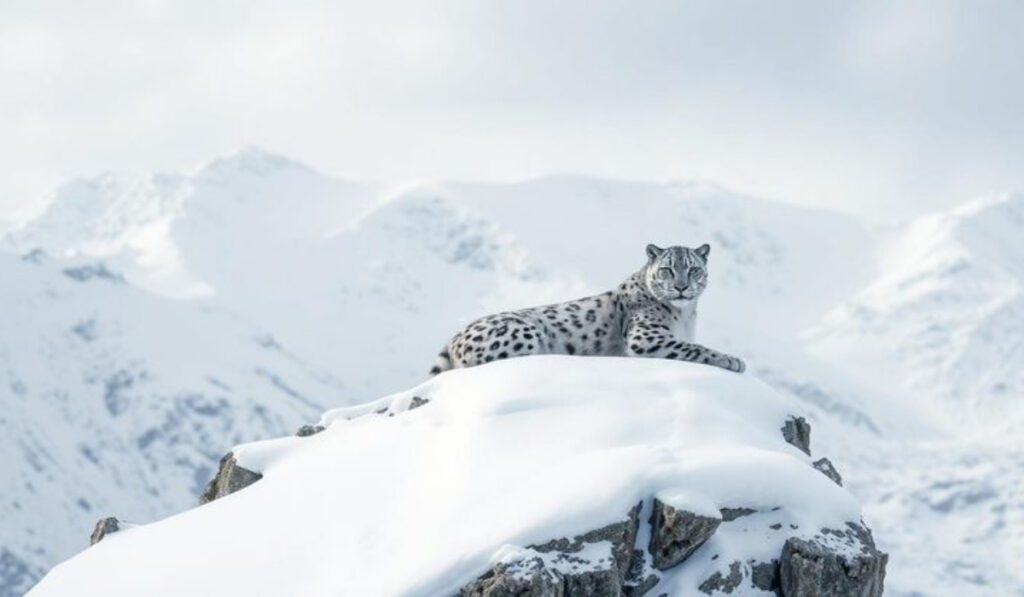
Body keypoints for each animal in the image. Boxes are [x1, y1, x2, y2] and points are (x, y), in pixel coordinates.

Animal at [429, 243, 746, 375]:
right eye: (667, 269)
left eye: (693, 269)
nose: (681, 287)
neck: (685, 315)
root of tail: (454, 339)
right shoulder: (648, 336)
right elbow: (695, 348)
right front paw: (733, 360)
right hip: (522, 332)